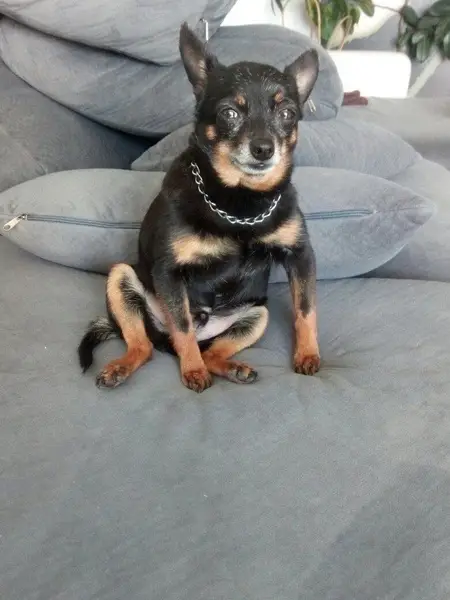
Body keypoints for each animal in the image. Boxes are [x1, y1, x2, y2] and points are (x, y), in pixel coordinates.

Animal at [77, 23, 321, 393]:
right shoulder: (169, 274)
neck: (241, 205)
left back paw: (233, 368)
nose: (264, 148)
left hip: (256, 315)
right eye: (229, 114)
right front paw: (192, 372)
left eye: (287, 114)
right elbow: (183, 326)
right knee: (147, 345)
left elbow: (305, 310)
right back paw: (124, 367)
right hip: (122, 279)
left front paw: (308, 355)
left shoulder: (300, 256)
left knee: (211, 352)